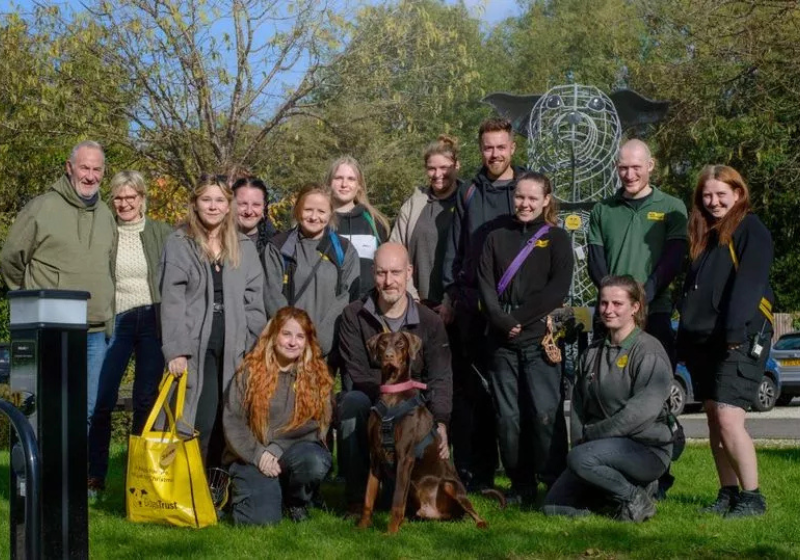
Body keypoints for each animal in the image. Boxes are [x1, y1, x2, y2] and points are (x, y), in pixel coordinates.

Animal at [356, 332, 500, 532]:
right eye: (383, 344)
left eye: (400, 344)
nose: (388, 356)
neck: (392, 395)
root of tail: (435, 513)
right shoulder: (375, 456)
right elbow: (368, 497)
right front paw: (362, 527)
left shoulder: (405, 457)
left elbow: (397, 501)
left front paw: (390, 532)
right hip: (413, 489)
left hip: (449, 486)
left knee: (471, 511)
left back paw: (481, 523)